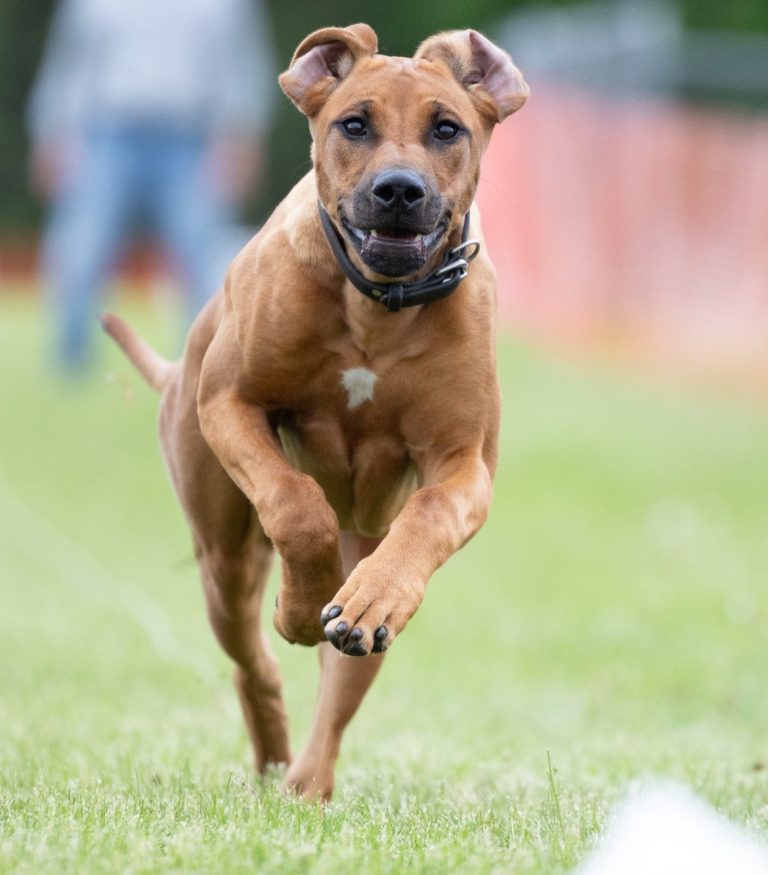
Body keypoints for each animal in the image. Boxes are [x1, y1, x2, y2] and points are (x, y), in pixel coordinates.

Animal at [103, 22, 528, 800]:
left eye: (446, 128)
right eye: (353, 124)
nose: (399, 190)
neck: (378, 307)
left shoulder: (463, 466)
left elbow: (429, 510)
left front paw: (360, 600)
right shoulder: (229, 404)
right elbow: (297, 503)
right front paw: (298, 609)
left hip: (367, 555)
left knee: (344, 675)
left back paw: (308, 780)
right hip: (222, 553)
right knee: (253, 660)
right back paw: (275, 739)